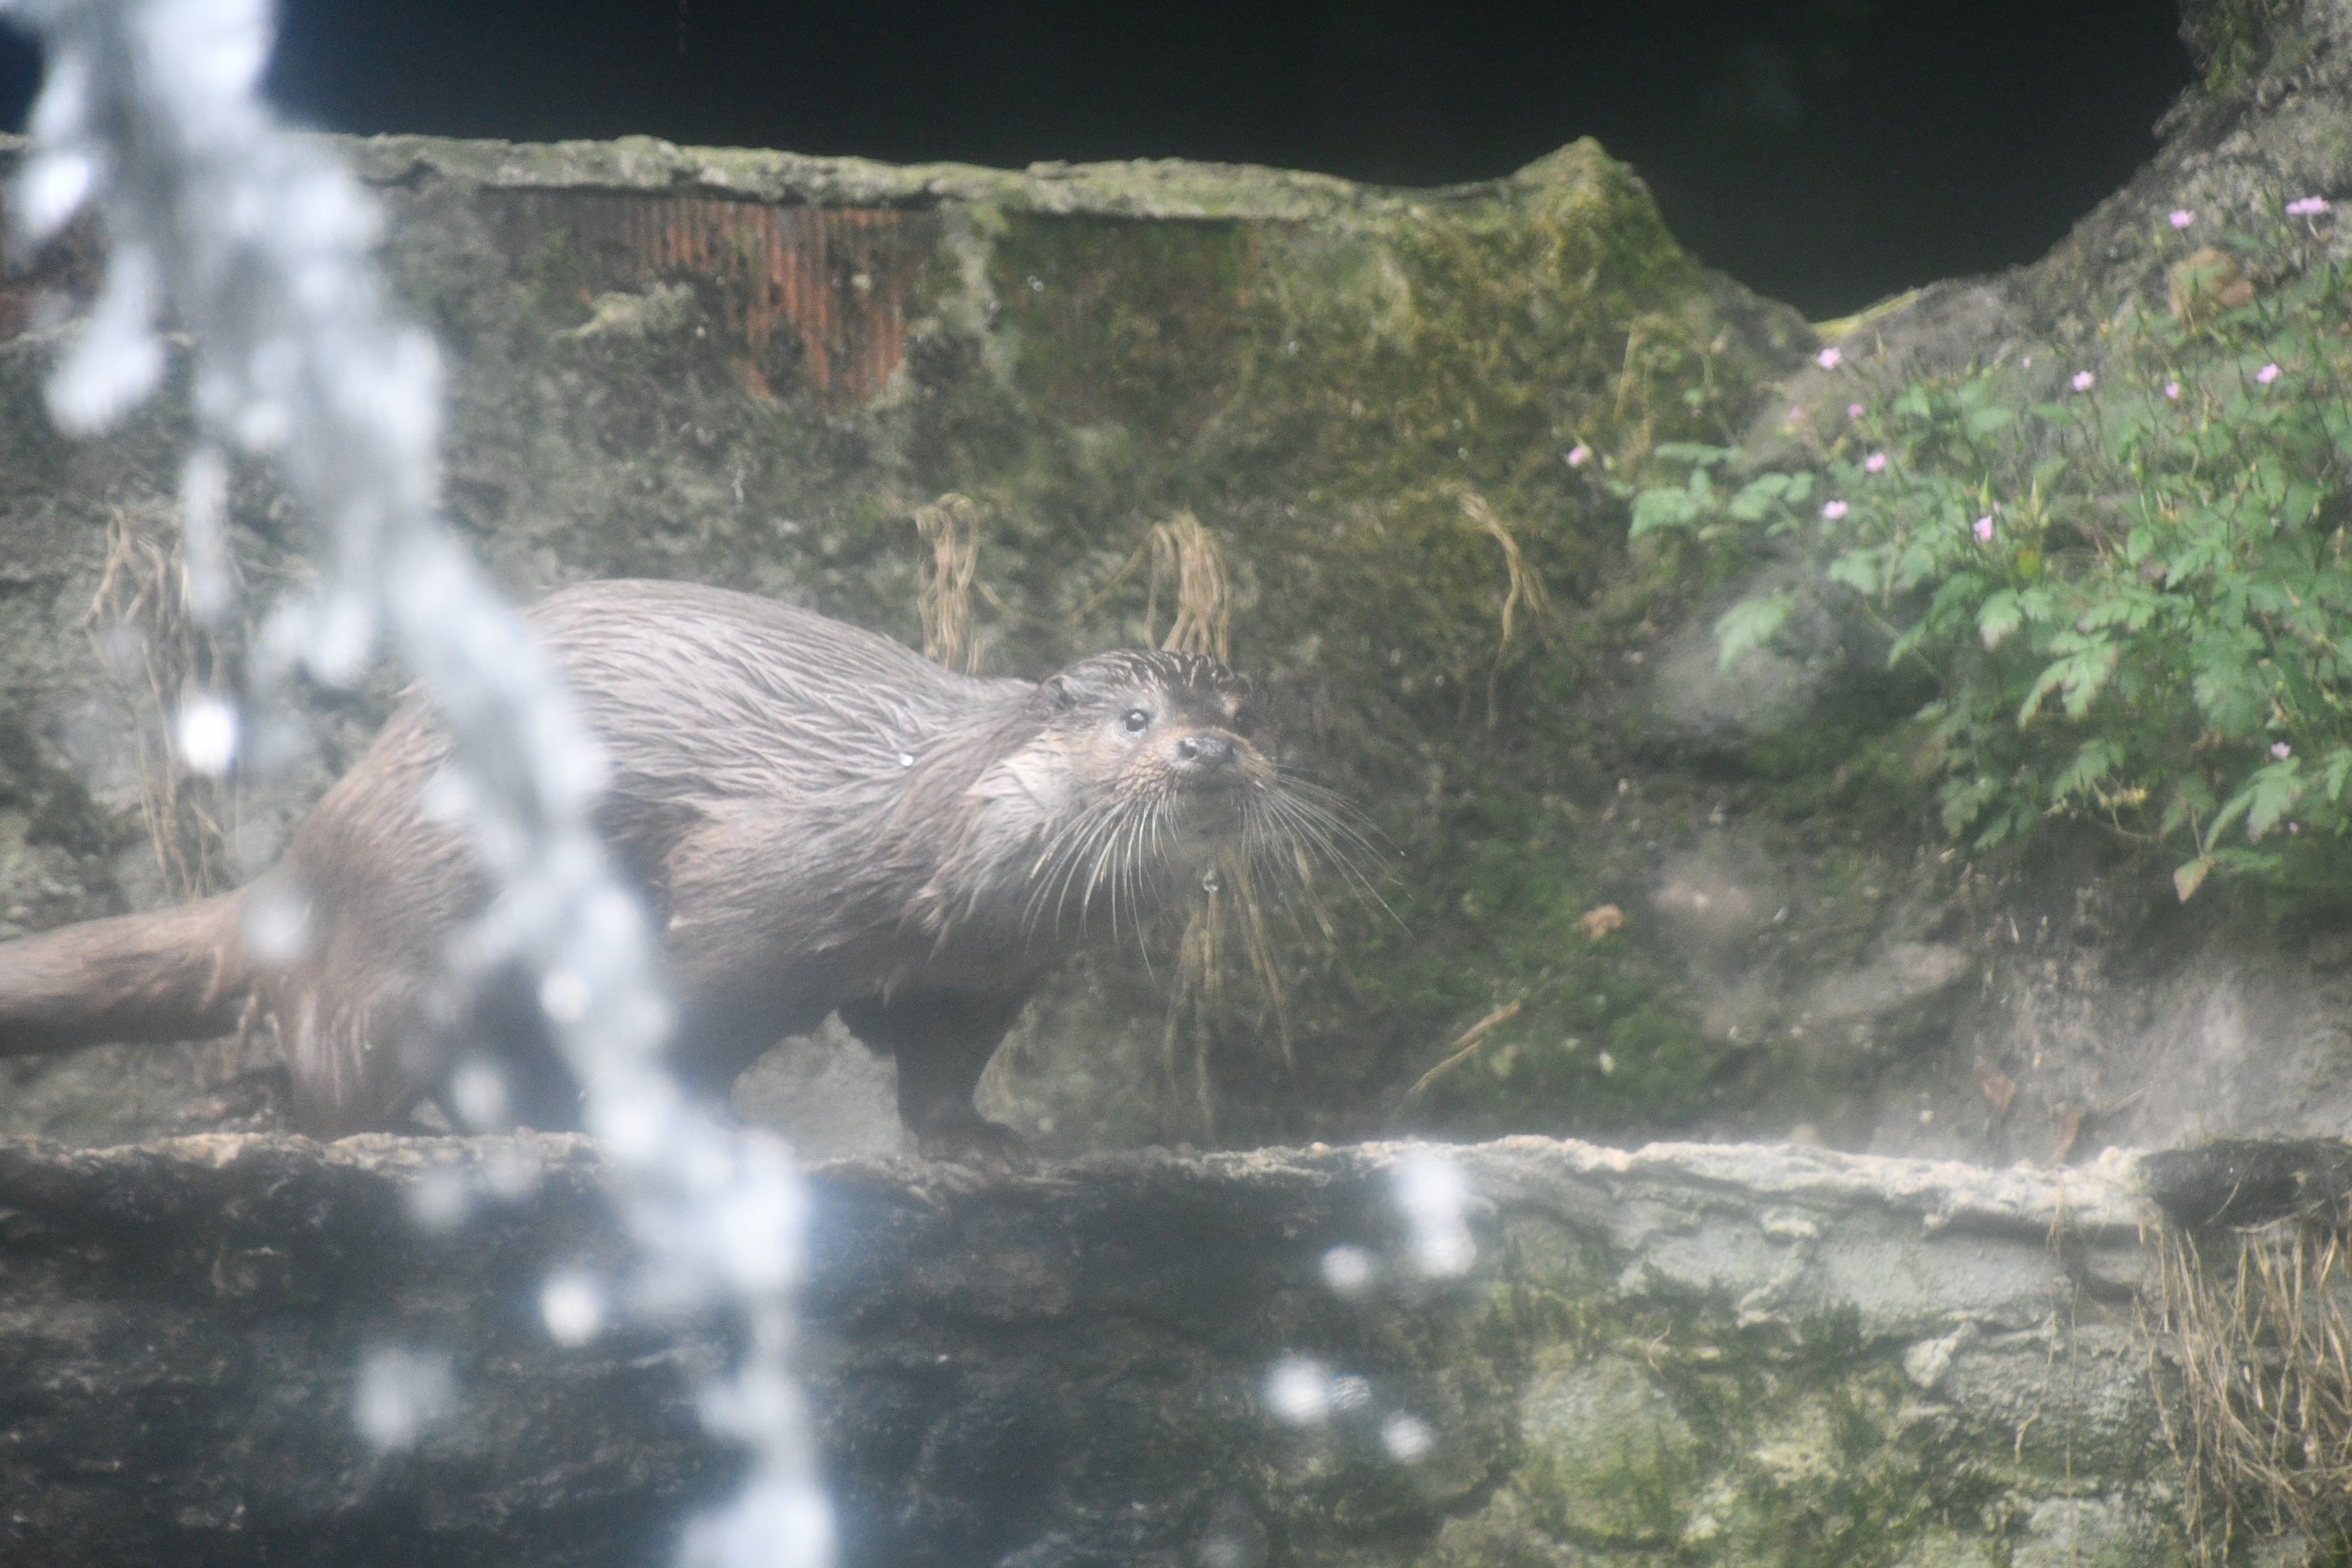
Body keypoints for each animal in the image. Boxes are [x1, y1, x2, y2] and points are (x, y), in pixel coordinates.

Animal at [0, 579, 1310, 1157]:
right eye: (1135, 719)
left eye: (1248, 719)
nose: (1208, 751)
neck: (935, 836)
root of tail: (309, 857)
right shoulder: (754, 889)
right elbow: (681, 1021)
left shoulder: (983, 976)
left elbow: (942, 1067)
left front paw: (982, 1136)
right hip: (411, 921)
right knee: (344, 1067)